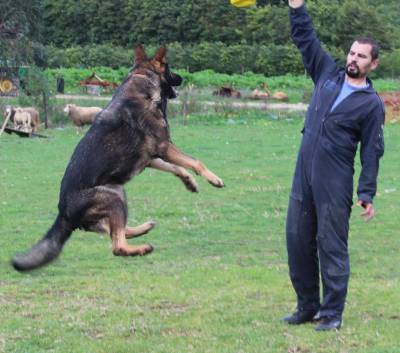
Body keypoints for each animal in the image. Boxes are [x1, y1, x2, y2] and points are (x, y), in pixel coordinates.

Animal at [11, 44, 225, 270]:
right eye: (170, 69)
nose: (182, 78)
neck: (142, 81)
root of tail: (63, 214)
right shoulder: (165, 147)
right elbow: (195, 161)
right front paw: (214, 179)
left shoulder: (152, 157)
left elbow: (178, 168)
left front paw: (190, 182)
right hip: (114, 196)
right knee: (117, 245)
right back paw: (141, 248)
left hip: (118, 192)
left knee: (115, 231)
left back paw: (144, 227)